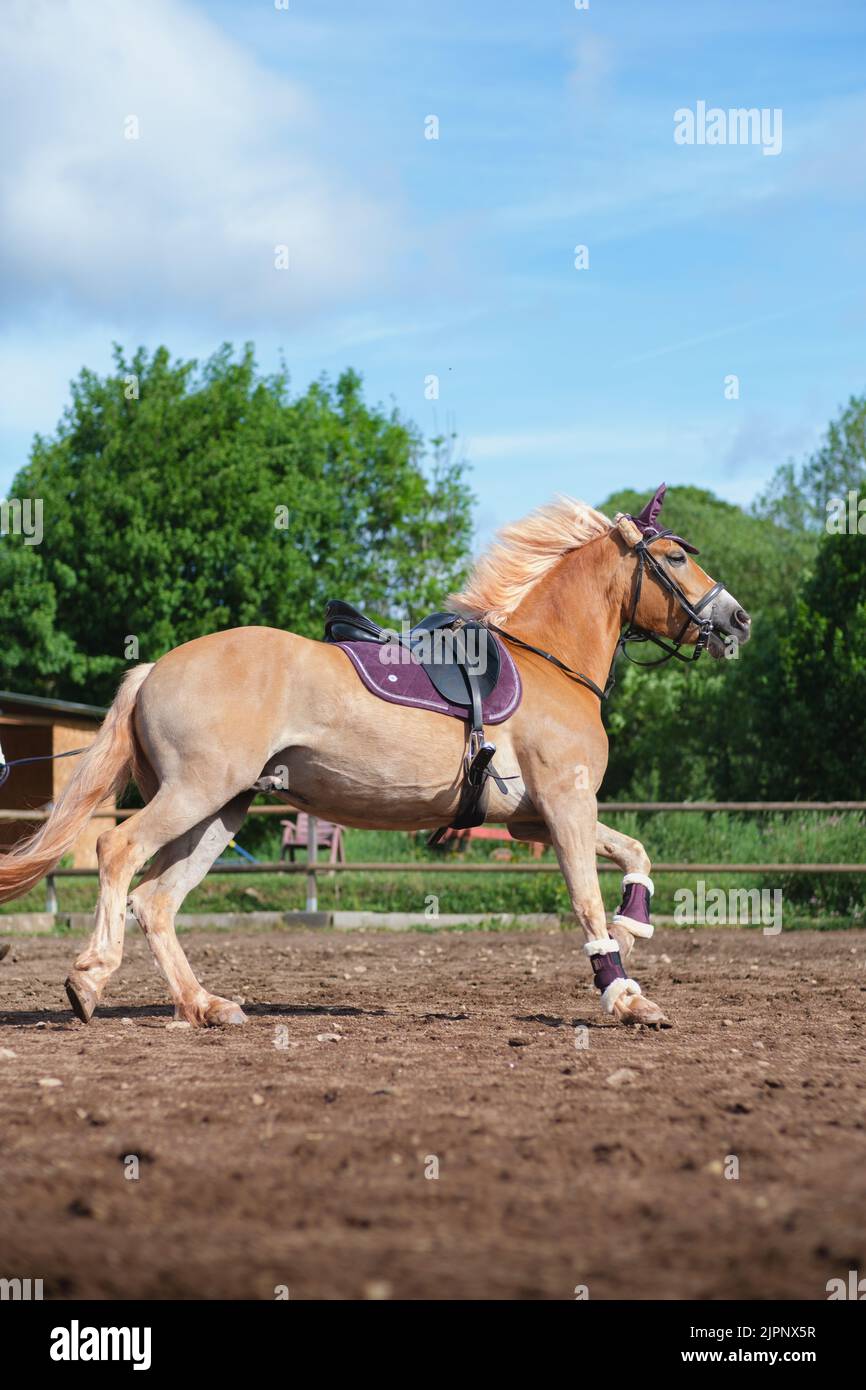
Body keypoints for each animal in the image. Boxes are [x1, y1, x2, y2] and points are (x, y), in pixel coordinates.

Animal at [0, 483, 750, 1028]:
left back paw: (205, 1006)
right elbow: (588, 902)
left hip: (224, 808)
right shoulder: (564, 807)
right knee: (119, 854)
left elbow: (633, 853)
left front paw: (635, 921)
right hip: (196, 793)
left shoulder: (534, 818)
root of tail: (155, 667)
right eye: (675, 558)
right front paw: (626, 997)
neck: (549, 664)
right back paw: (89, 981)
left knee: (156, 900)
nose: (738, 619)